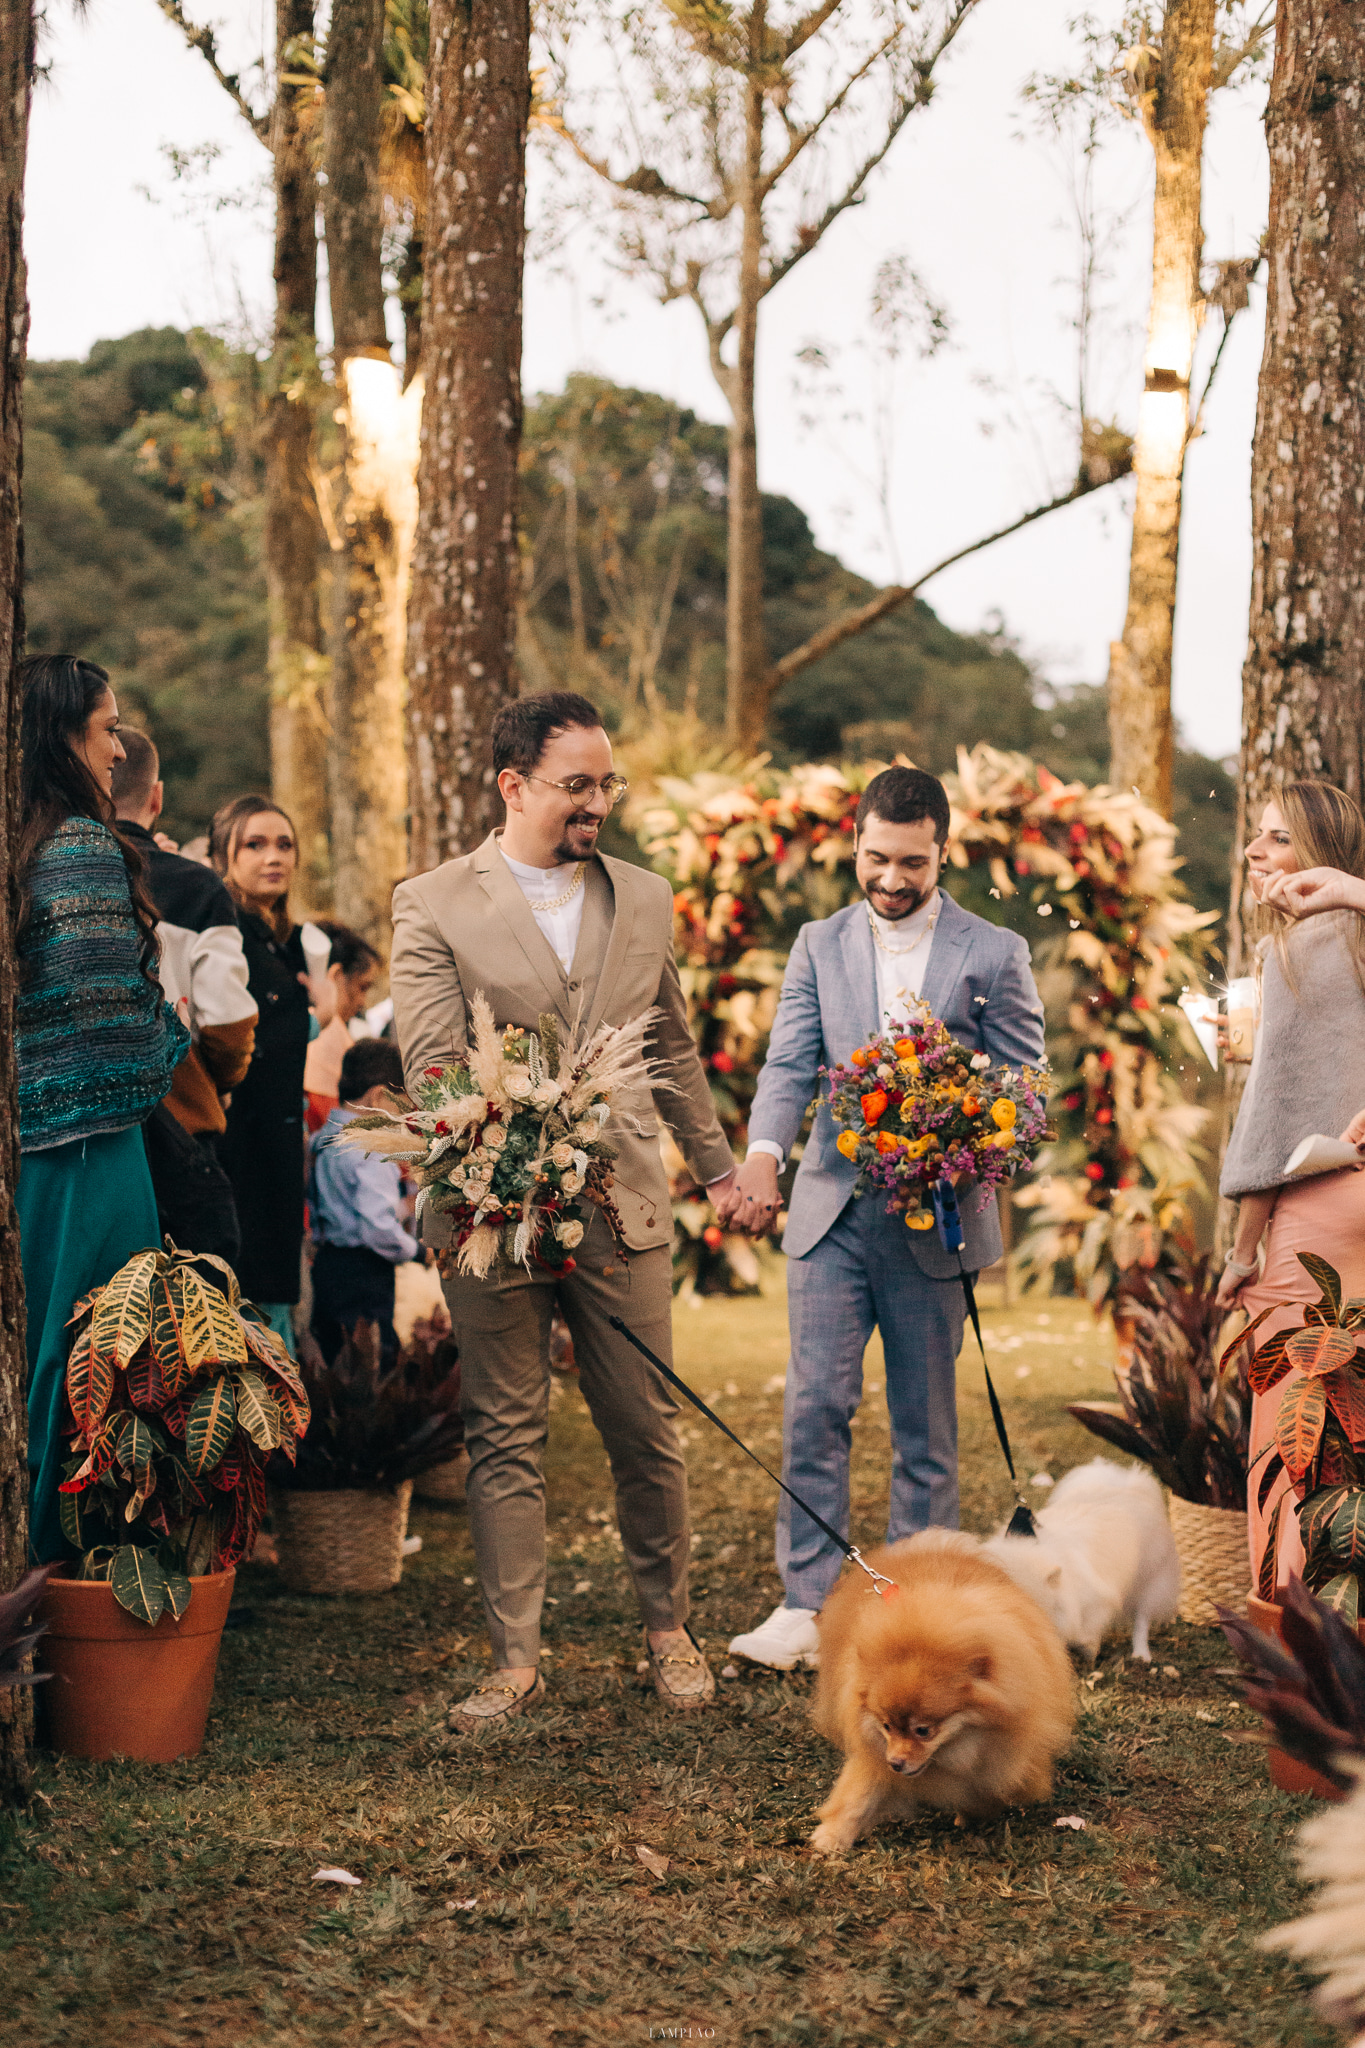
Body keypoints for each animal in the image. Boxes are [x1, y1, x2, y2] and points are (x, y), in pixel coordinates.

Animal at [810, 1540, 1080, 1859]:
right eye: (886, 1727)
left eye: (923, 1730)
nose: (895, 1763)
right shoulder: (873, 1753)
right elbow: (858, 1796)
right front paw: (831, 1837)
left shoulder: (1003, 1755)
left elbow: (991, 1787)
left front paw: (974, 1814)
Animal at [982, 1458, 1186, 1662]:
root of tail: (1131, 1487)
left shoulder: (1095, 1604)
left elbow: (1085, 1633)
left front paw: (1088, 1652)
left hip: (1148, 1582)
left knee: (1141, 1620)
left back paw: (1141, 1655)